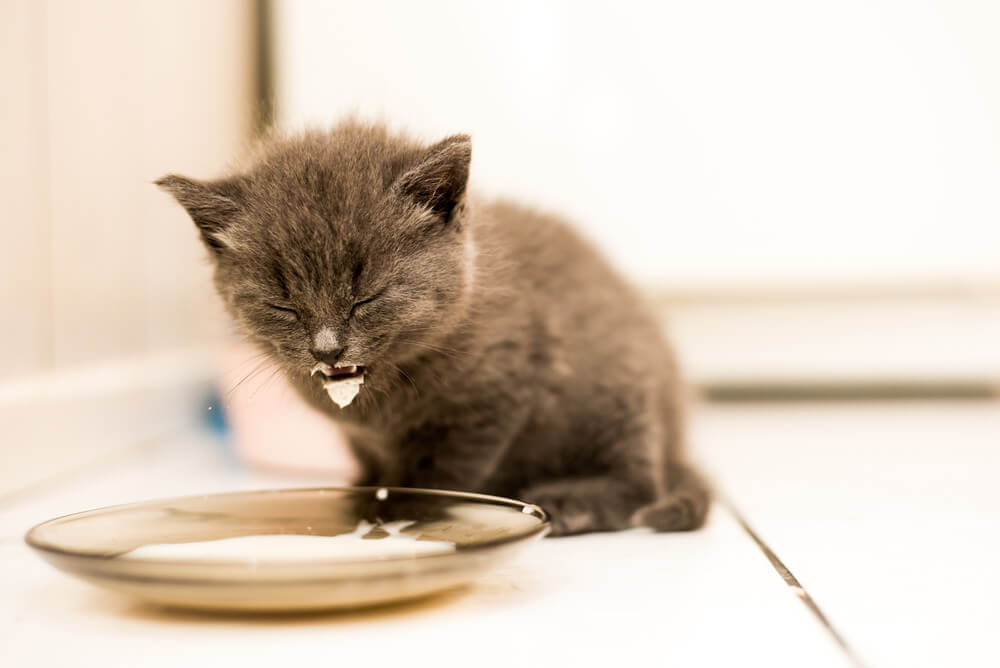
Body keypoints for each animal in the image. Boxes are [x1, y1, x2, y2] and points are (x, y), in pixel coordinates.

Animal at [156, 121, 708, 536]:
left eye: (366, 297)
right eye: (284, 305)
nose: (327, 349)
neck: (380, 395)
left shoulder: (493, 397)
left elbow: (439, 468)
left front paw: (400, 509)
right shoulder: (363, 435)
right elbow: (370, 461)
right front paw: (360, 491)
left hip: (618, 386)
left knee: (640, 487)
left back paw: (570, 505)